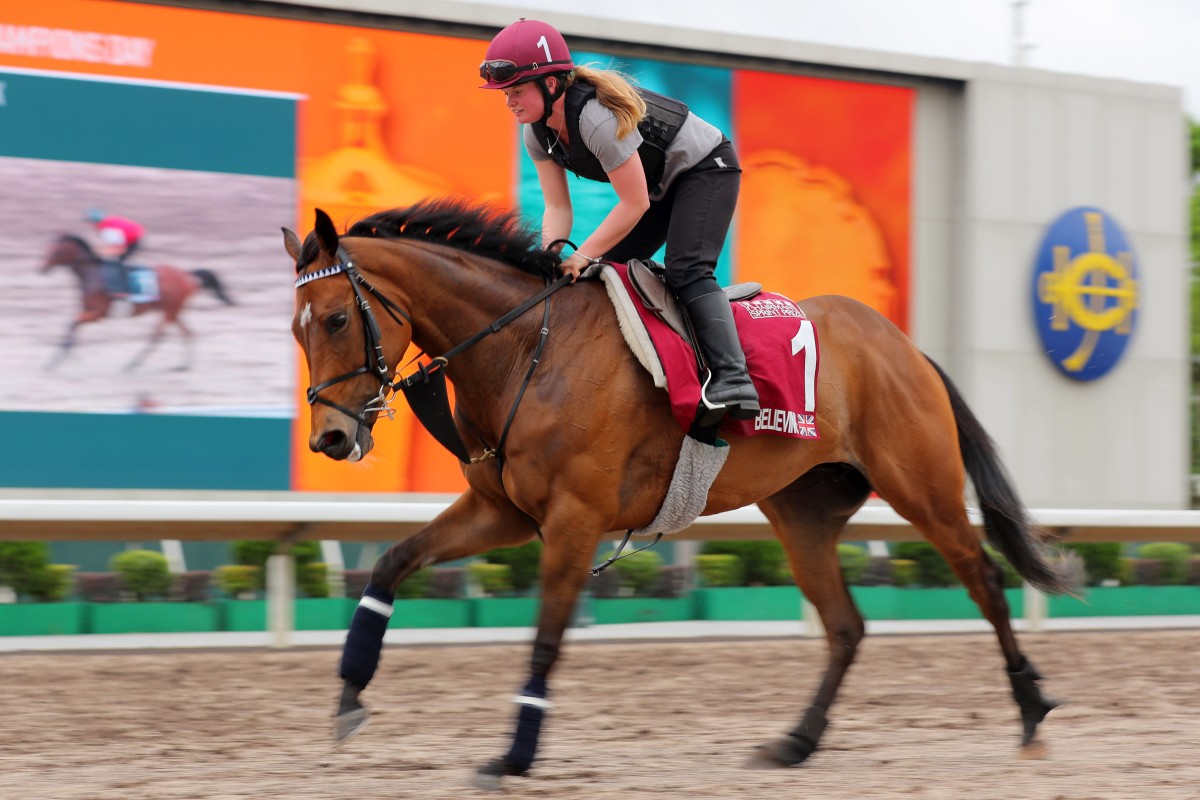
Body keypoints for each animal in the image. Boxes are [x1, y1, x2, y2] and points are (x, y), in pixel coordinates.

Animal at [42, 235, 234, 371]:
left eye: (56, 251)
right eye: (47, 248)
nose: (41, 268)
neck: (92, 274)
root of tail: (187, 274)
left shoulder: (98, 313)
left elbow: (72, 323)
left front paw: (59, 359)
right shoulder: (88, 310)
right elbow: (72, 326)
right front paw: (63, 357)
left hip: (170, 310)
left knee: (158, 335)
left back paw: (132, 364)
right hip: (174, 310)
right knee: (187, 332)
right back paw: (183, 365)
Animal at [283, 199, 1070, 786]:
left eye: (337, 318)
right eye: (296, 328)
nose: (330, 438)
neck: (529, 348)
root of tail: (904, 345)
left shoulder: (574, 519)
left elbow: (546, 638)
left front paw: (514, 756)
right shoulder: (502, 511)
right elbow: (392, 563)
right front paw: (349, 693)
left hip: (921, 486)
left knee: (985, 581)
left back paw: (1032, 709)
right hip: (803, 513)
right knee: (846, 625)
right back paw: (798, 741)